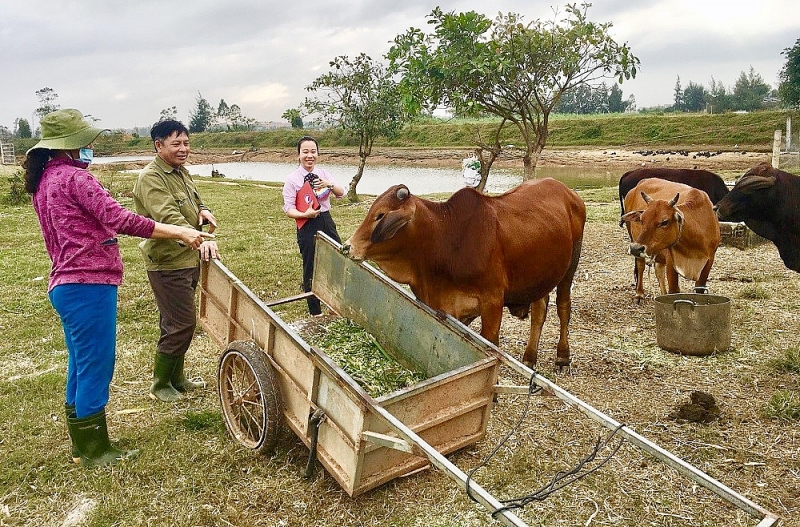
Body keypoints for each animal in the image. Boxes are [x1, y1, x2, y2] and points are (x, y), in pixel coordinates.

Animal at [340, 179, 584, 370]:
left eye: (380, 215)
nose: (348, 246)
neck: (445, 235)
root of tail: (567, 191)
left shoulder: (492, 300)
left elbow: (491, 344)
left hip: (569, 267)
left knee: (563, 307)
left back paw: (563, 357)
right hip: (540, 274)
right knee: (540, 309)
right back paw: (529, 358)